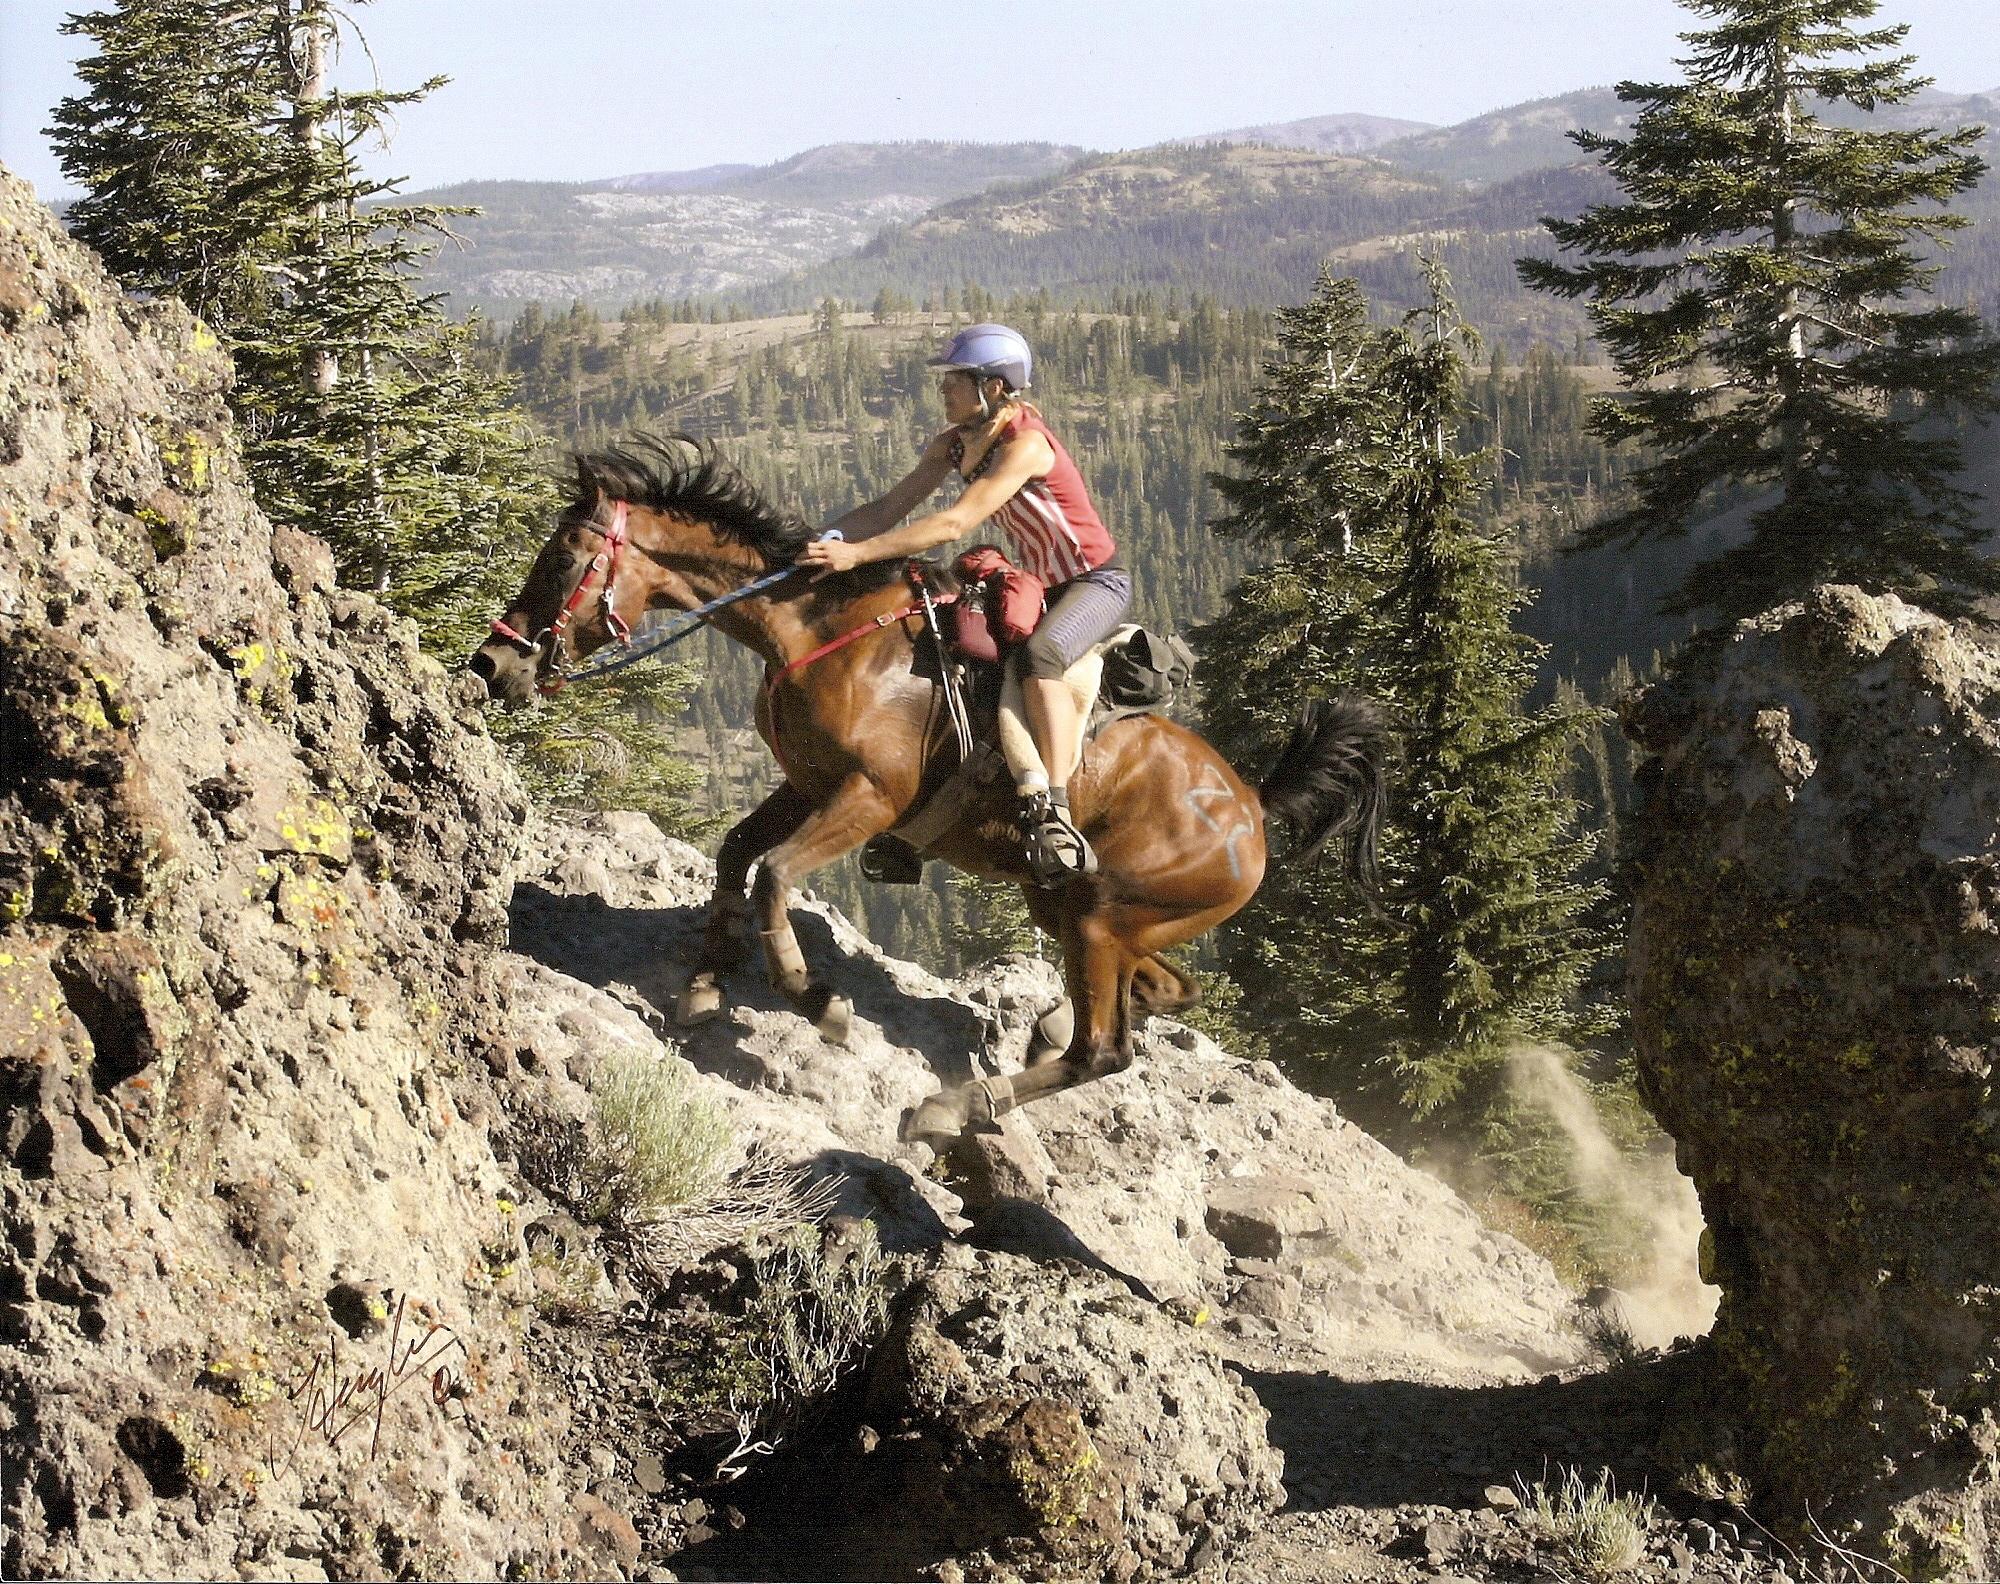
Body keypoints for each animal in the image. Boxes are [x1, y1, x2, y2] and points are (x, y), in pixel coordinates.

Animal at [472, 440, 1392, 1144]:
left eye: (562, 558)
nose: (493, 664)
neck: (816, 632)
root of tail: (1251, 808)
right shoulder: (807, 783)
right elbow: (736, 855)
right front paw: (703, 985)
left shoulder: (870, 796)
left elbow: (774, 875)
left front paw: (815, 997)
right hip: (1076, 906)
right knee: (1164, 991)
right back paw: (1043, 1030)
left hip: (1102, 913)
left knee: (1106, 1050)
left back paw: (951, 1107)